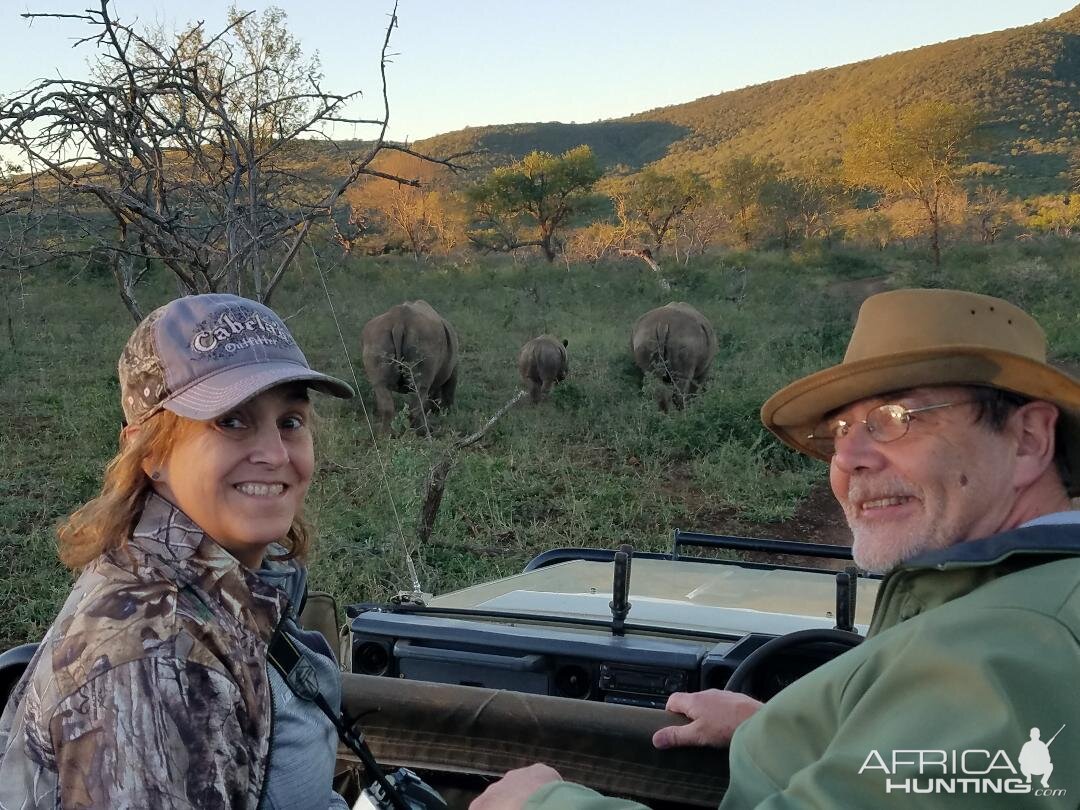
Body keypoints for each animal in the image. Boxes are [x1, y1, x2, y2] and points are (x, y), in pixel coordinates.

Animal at [362, 302, 460, 434]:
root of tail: (398, 321)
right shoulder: (452, 368)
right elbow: (449, 388)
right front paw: (447, 412)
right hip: (424, 340)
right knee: (420, 389)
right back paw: (424, 432)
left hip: (376, 338)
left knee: (380, 385)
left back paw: (385, 435)